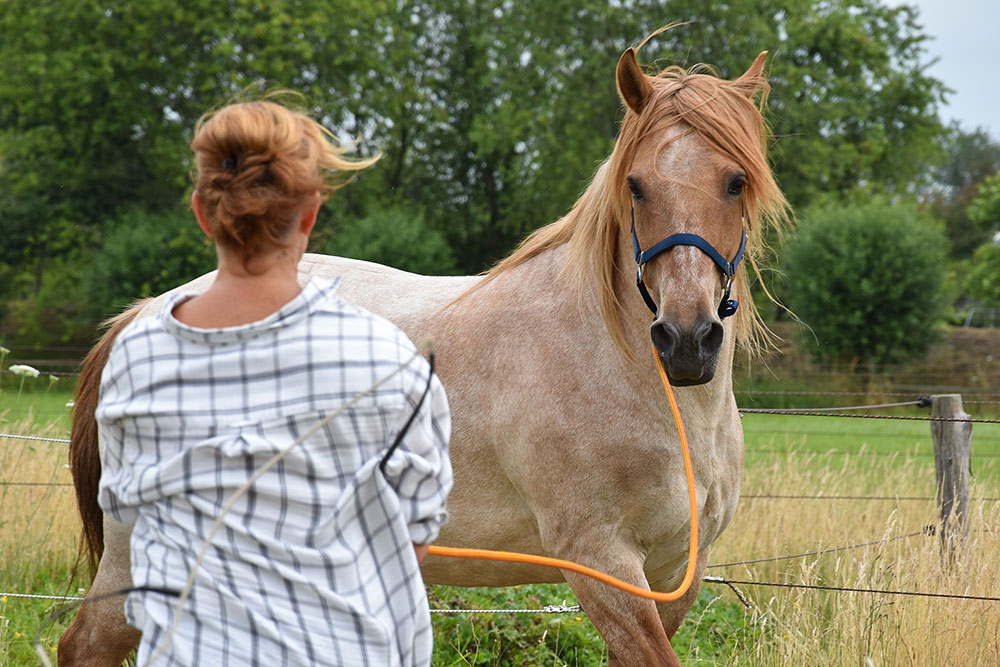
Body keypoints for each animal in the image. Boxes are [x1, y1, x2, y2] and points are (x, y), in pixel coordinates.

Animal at [56, 48, 788, 667]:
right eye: (635, 186)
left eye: (735, 181)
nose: (687, 339)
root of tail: (147, 311)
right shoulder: (604, 564)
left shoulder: (673, 576)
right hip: (139, 556)